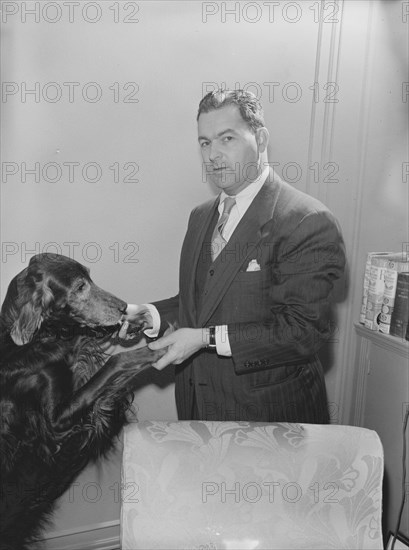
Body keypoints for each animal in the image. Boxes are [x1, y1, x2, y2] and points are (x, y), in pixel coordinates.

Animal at [0, 256, 163, 550]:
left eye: (90, 277)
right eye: (79, 287)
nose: (123, 306)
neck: (40, 338)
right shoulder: (55, 424)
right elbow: (115, 362)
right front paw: (147, 352)